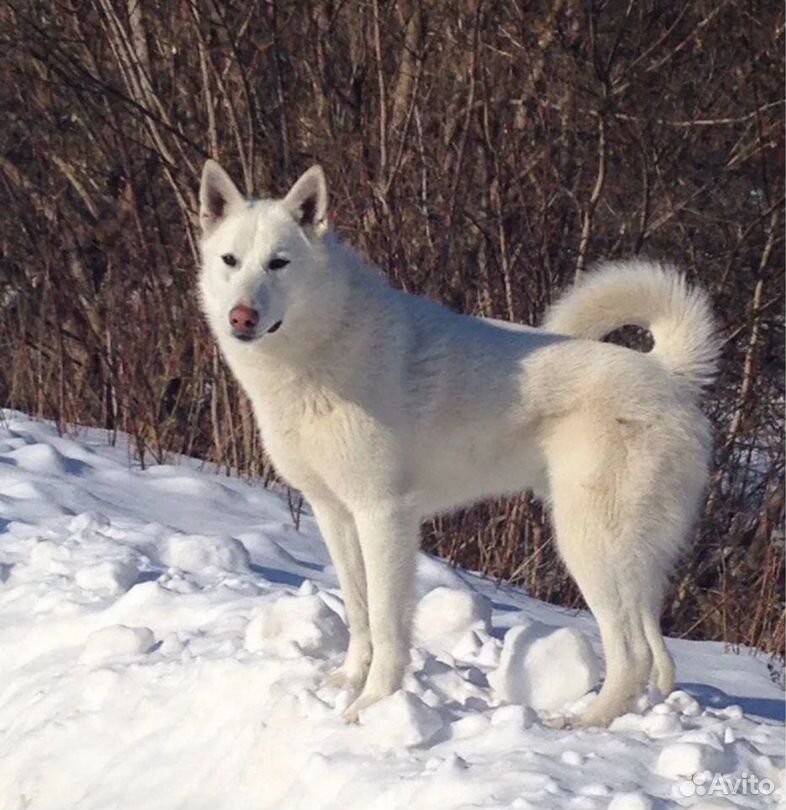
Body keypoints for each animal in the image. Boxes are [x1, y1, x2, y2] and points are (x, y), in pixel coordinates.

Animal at [196, 159, 716, 724]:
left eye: (279, 263)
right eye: (230, 260)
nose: (241, 316)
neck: (320, 351)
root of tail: (668, 373)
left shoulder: (385, 515)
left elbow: (387, 623)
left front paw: (370, 705)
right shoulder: (333, 512)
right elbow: (359, 612)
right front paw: (346, 683)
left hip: (588, 544)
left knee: (634, 654)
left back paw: (583, 723)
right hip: (630, 556)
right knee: (659, 654)